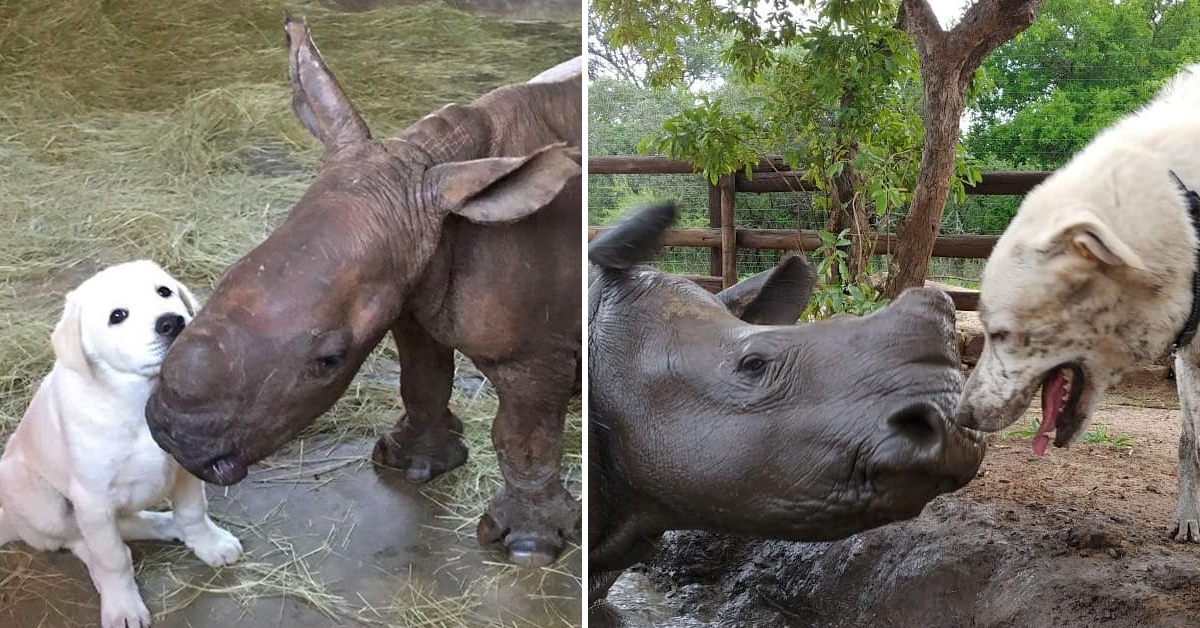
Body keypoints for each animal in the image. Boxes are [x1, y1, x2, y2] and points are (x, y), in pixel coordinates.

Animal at [0, 261, 243, 628]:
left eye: (164, 291)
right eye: (118, 316)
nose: (172, 322)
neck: (139, 400)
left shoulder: (185, 467)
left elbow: (193, 513)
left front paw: (209, 544)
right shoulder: (93, 500)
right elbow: (112, 557)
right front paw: (122, 605)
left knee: (131, 522)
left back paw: (168, 525)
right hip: (45, 506)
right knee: (80, 541)